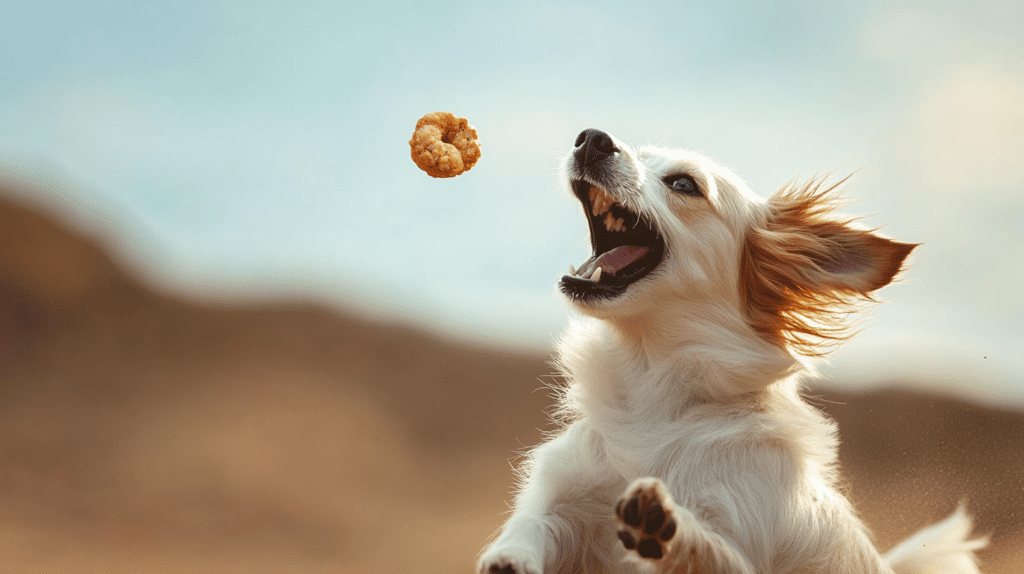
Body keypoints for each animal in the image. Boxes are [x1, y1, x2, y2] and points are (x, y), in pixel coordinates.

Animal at [475, 129, 987, 572]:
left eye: (684, 183)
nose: (592, 138)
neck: (651, 390)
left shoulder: (736, 540)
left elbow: (708, 549)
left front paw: (665, 527)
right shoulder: (561, 493)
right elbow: (532, 525)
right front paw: (509, 558)